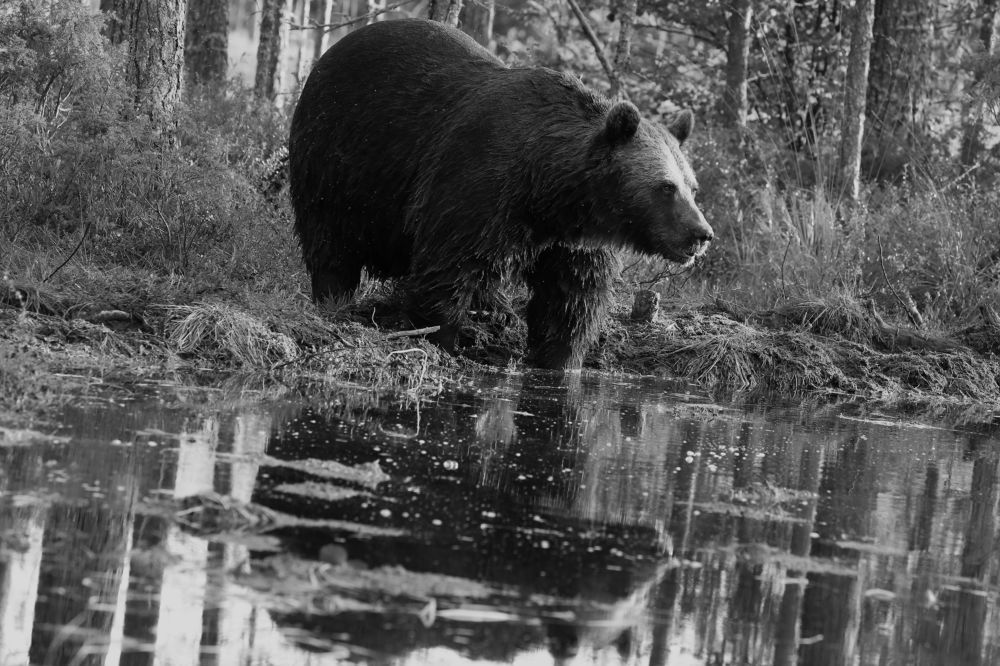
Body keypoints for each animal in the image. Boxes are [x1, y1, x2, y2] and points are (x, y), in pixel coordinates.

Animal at [288, 18, 713, 370]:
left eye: (693, 188)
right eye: (665, 187)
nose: (701, 234)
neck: (550, 193)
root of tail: (335, 50)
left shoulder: (571, 243)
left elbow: (571, 302)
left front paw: (560, 359)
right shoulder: (478, 184)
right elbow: (448, 271)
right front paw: (441, 339)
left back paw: (495, 311)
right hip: (337, 161)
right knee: (331, 245)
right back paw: (334, 301)